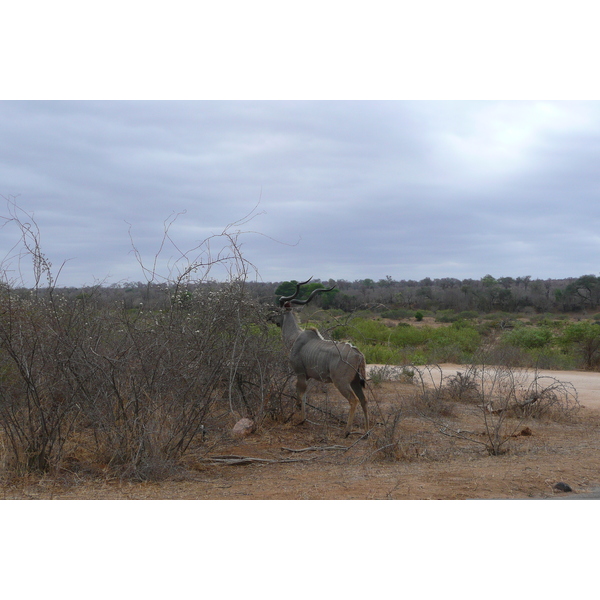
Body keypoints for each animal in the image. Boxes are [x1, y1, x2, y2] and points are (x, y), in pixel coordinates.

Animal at [268, 276, 368, 436]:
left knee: (354, 400)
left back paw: (347, 431)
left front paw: (301, 420)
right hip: (355, 382)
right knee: (364, 400)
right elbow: (305, 396)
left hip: (341, 382)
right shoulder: (308, 377)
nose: (269, 317)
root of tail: (358, 354)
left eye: (278, 310)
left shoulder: (300, 374)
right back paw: (366, 432)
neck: (295, 338)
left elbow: (300, 396)